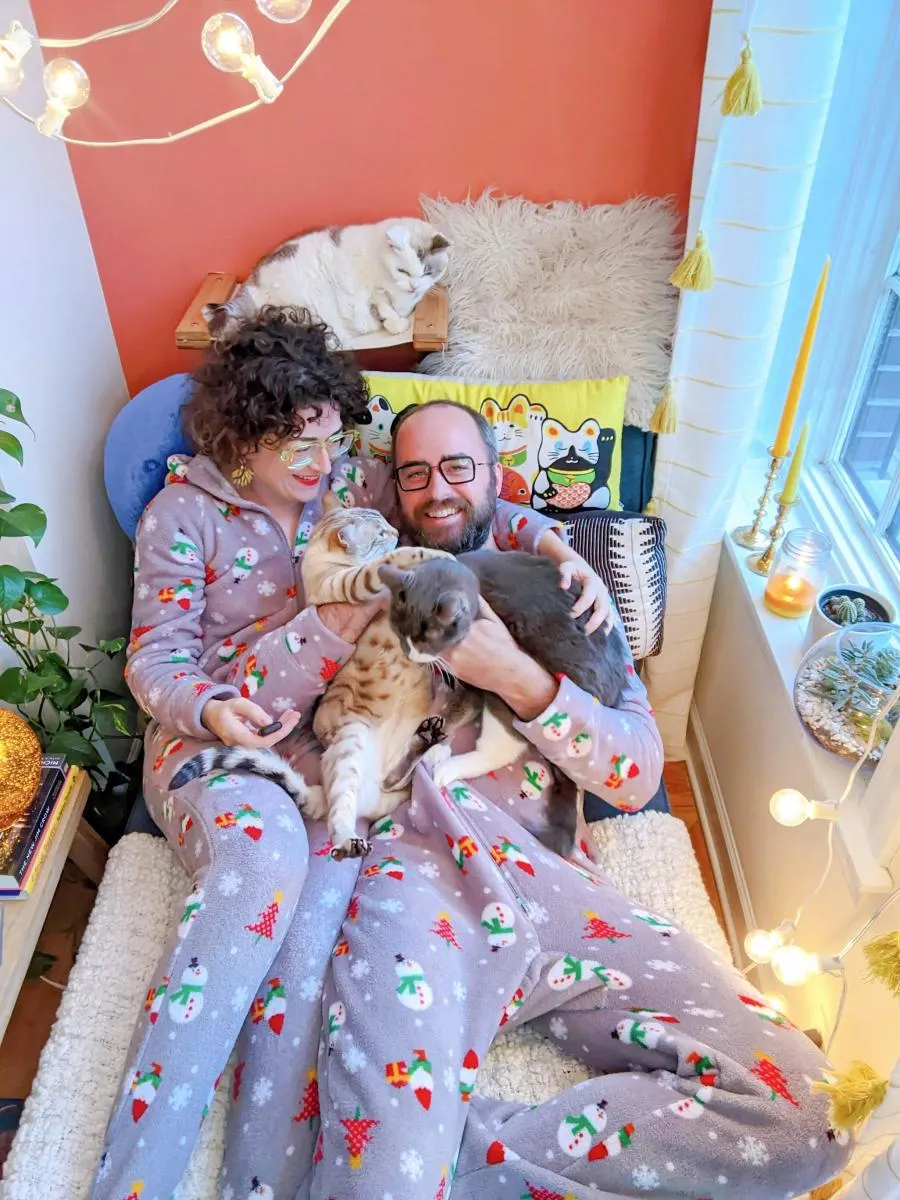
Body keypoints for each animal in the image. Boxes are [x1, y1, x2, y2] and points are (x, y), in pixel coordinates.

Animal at [172, 496, 628, 864]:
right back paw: (361, 825)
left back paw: (432, 751)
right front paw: (413, 553)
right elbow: (379, 568)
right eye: (378, 531)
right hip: (354, 741)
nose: (394, 529)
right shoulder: (344, 586)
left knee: (423, 766)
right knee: (349, 806)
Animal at [204, 218, 451, 348]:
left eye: (427, 272)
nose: (414, 286)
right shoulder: (373, 293)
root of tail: (251, 282)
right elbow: (383, 306)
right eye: (403, 271)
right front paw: (395, 322)